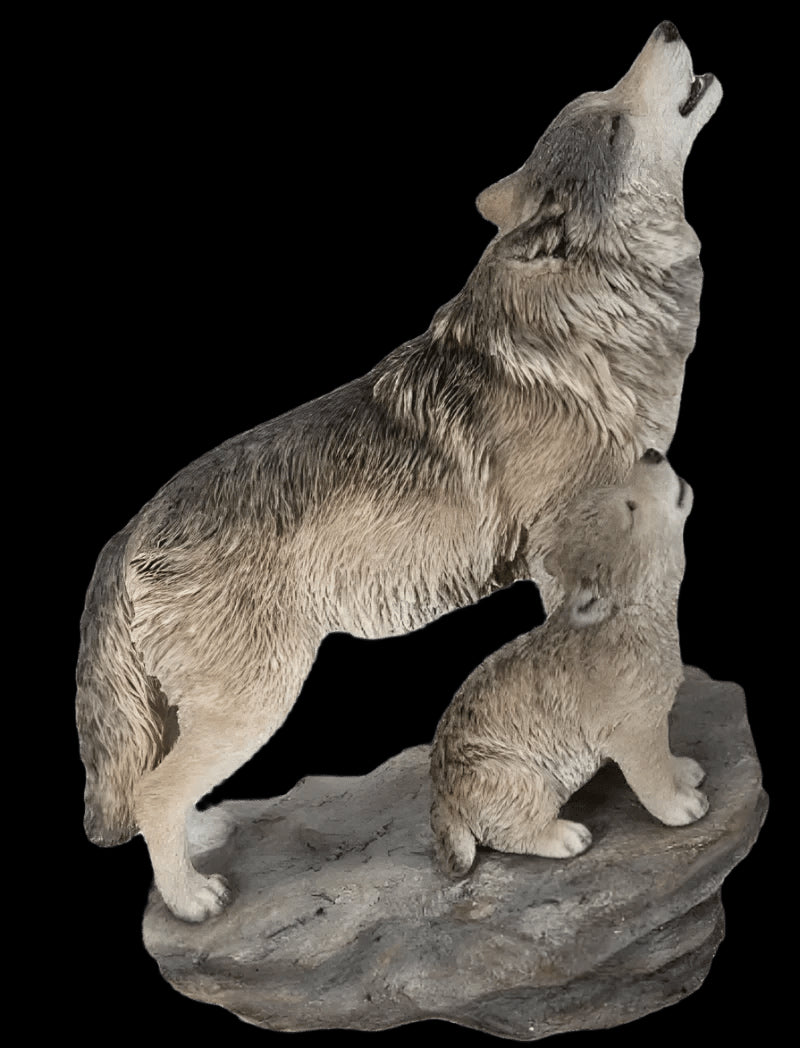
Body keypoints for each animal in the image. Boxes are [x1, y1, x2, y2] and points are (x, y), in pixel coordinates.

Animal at [430, 450, 704, 877]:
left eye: (619, 490)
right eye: (630, 507)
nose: (651, 453)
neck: (636, 615)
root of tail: (443, 800)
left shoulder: (654, 724)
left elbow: (666, 758)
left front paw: (684, 771)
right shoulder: (634, 732)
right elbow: (653, 778)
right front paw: (682, 806)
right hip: (517, 778)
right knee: (512, 832)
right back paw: (565, 836)